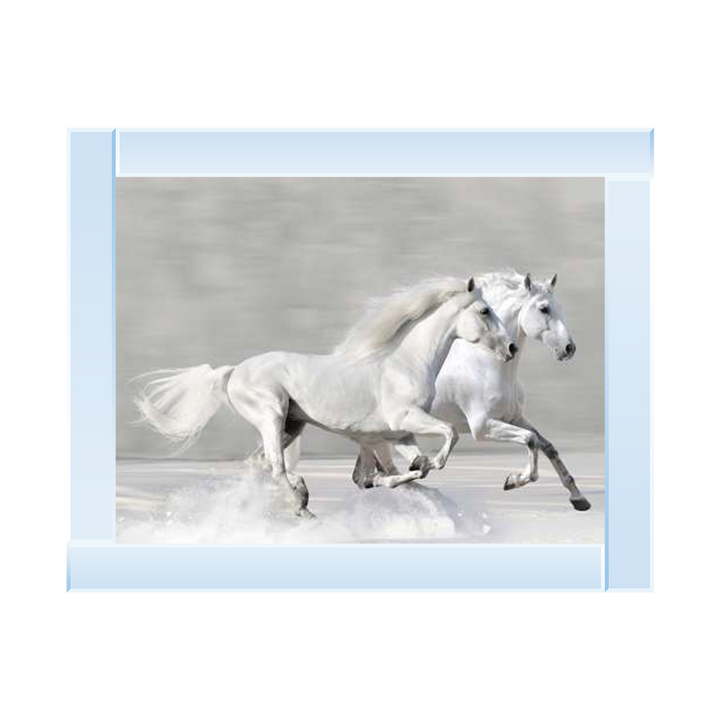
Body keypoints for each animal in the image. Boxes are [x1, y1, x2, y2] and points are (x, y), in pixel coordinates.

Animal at [134, 277, 515, 516]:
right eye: (484, 311)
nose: (511, 347)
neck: (405, 363)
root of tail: (233, 372)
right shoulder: (404, 420)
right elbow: (446, 438)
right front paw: (427, 465)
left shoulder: (398, 434)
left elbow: (399, 471)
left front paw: (411, 472)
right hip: (271, 416)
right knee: (276, 467)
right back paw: (301, 502)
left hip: (292, 425)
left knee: (260, 465)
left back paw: (298, 501)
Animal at [322, 271, 592, 511]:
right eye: (544, 309)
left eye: (559, 307)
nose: (569, 348)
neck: (487, 364)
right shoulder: (482, 427)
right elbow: (530, 440)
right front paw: (514, 481)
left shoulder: (514, 417)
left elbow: (547, 446)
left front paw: (579, 499)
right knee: (370, 475)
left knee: (364, 476)